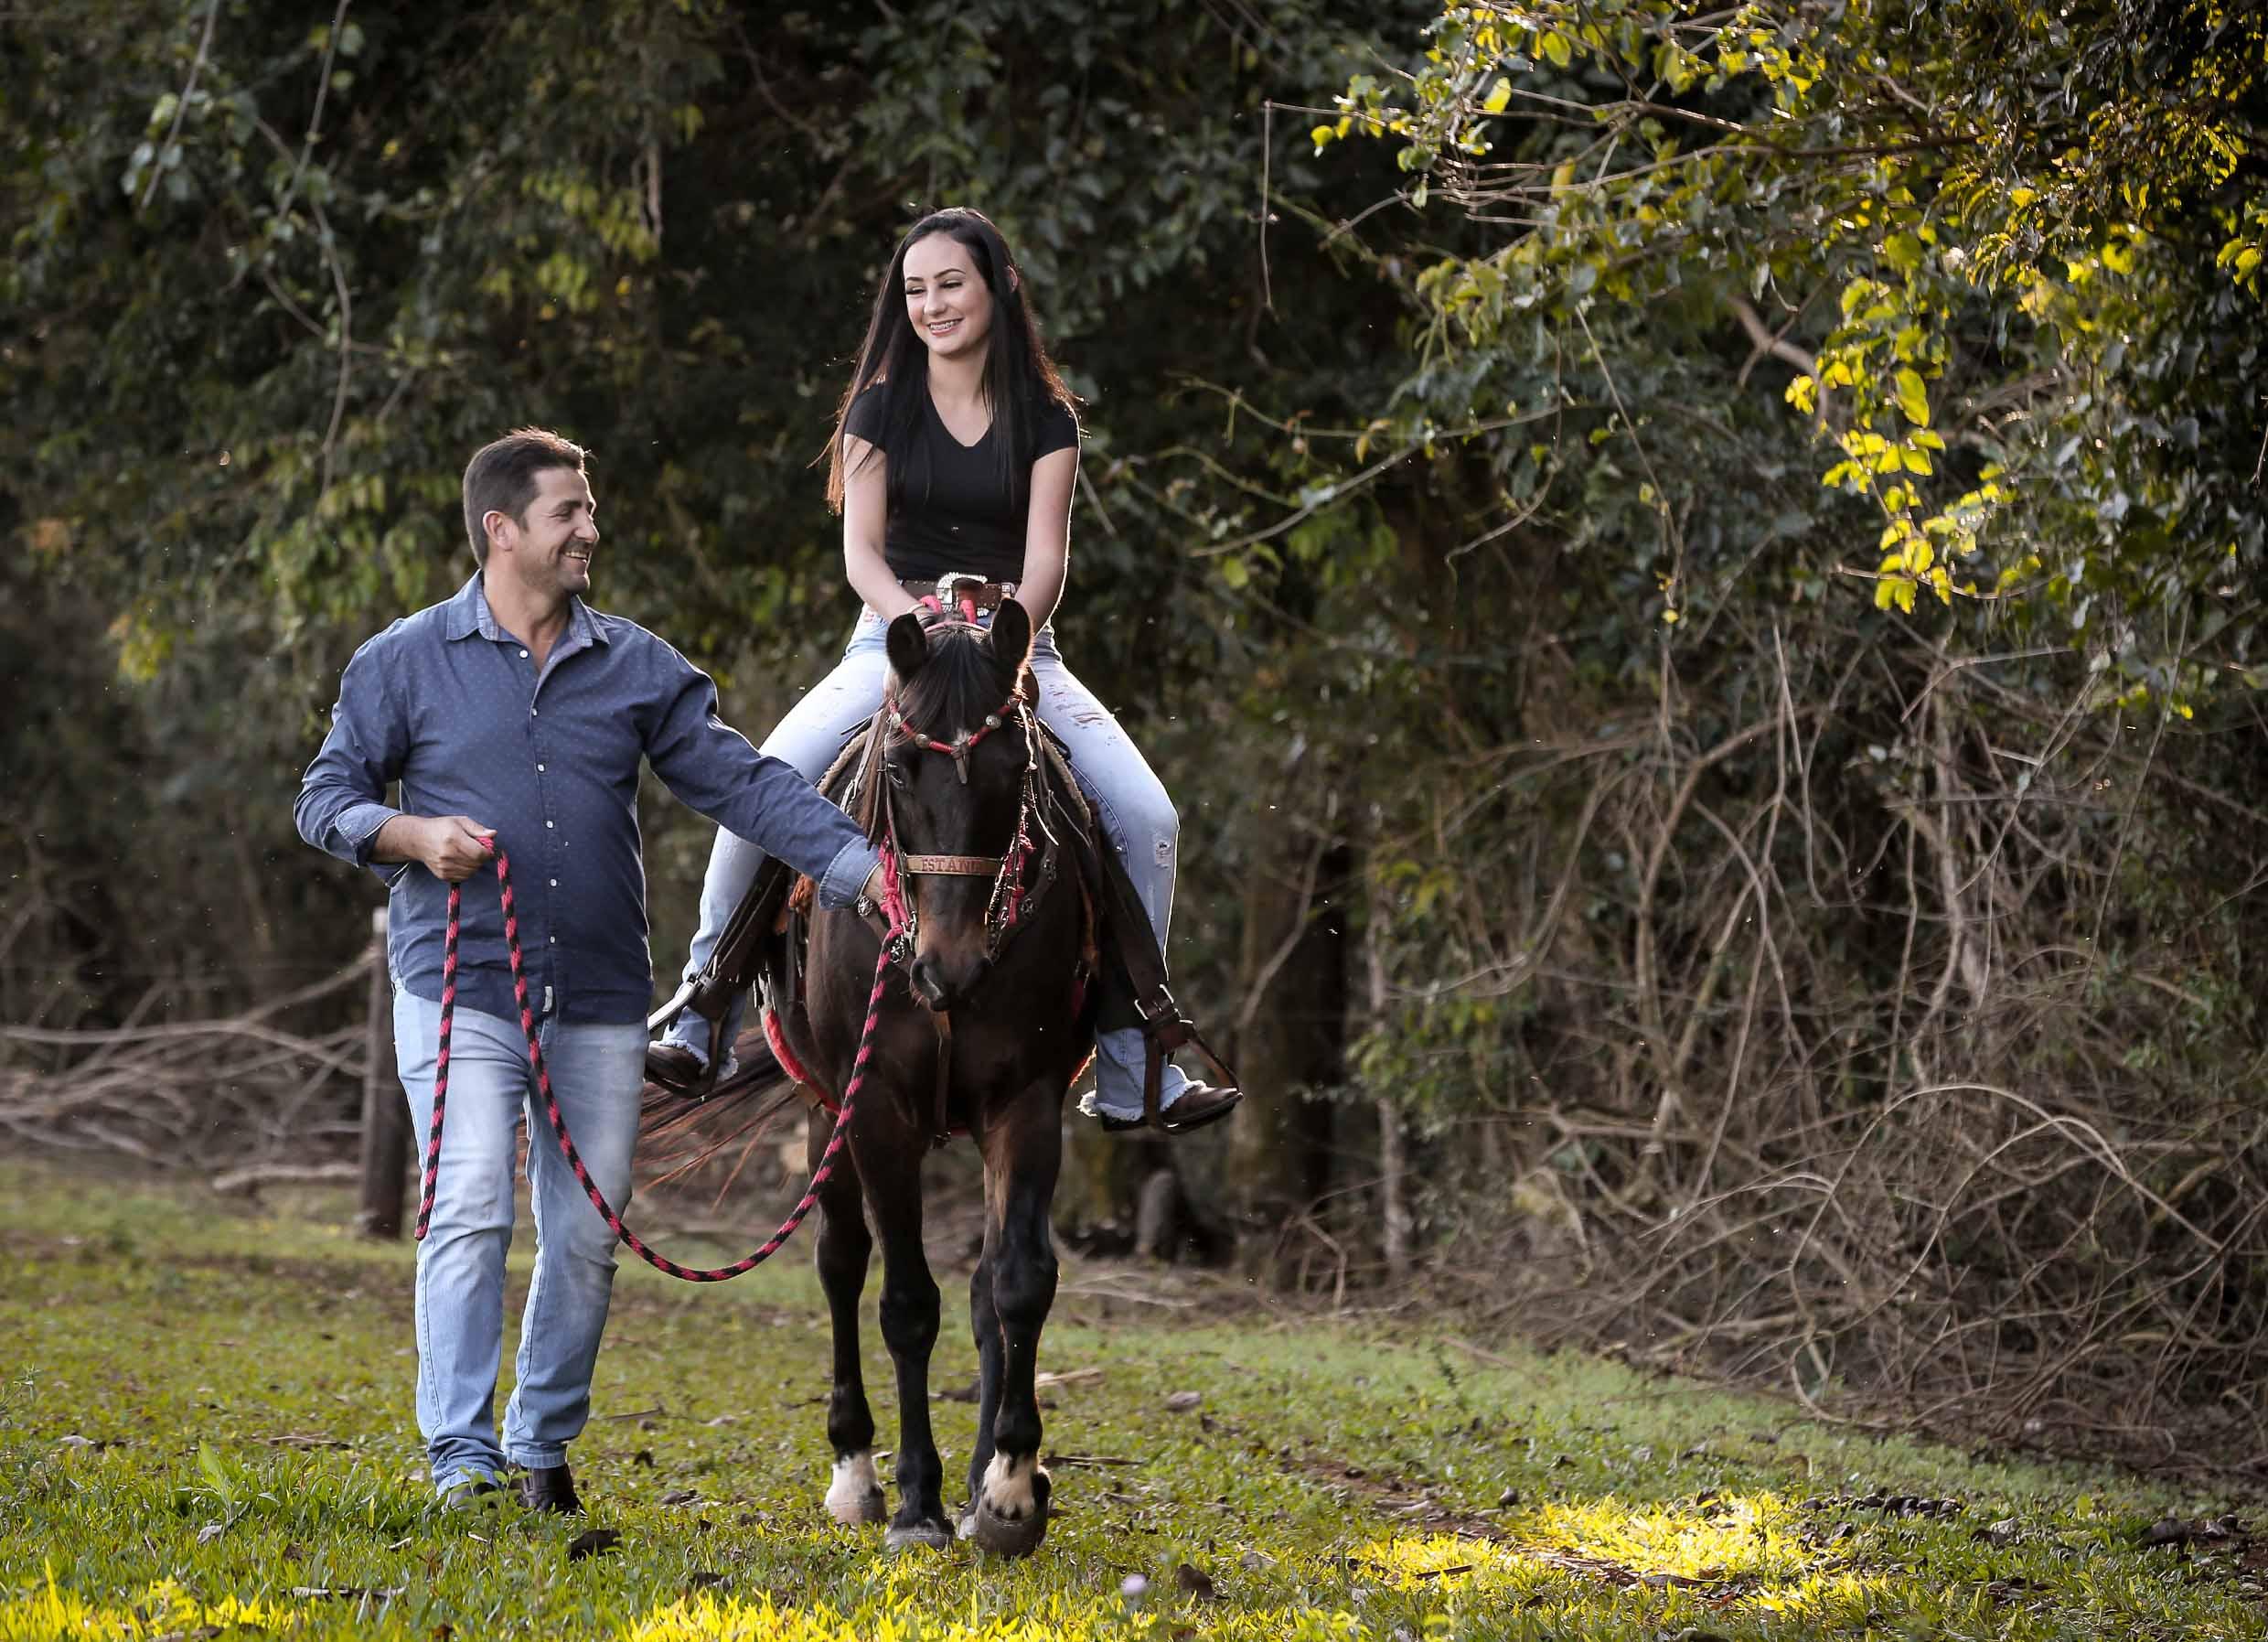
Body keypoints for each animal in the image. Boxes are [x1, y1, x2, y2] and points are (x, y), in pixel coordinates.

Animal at [763, 598, 1094, 1555]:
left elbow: (1018, 1282)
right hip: (823, 1107)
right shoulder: (875, 1108)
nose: (949, 969)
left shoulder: (1027, 1103)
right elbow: (906, 1299)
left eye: (1016, 766)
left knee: (985, 1286)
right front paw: (917, 1500)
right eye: (902, 770)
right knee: (841, 1262)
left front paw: (1011, 1487)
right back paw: (855, 1474)